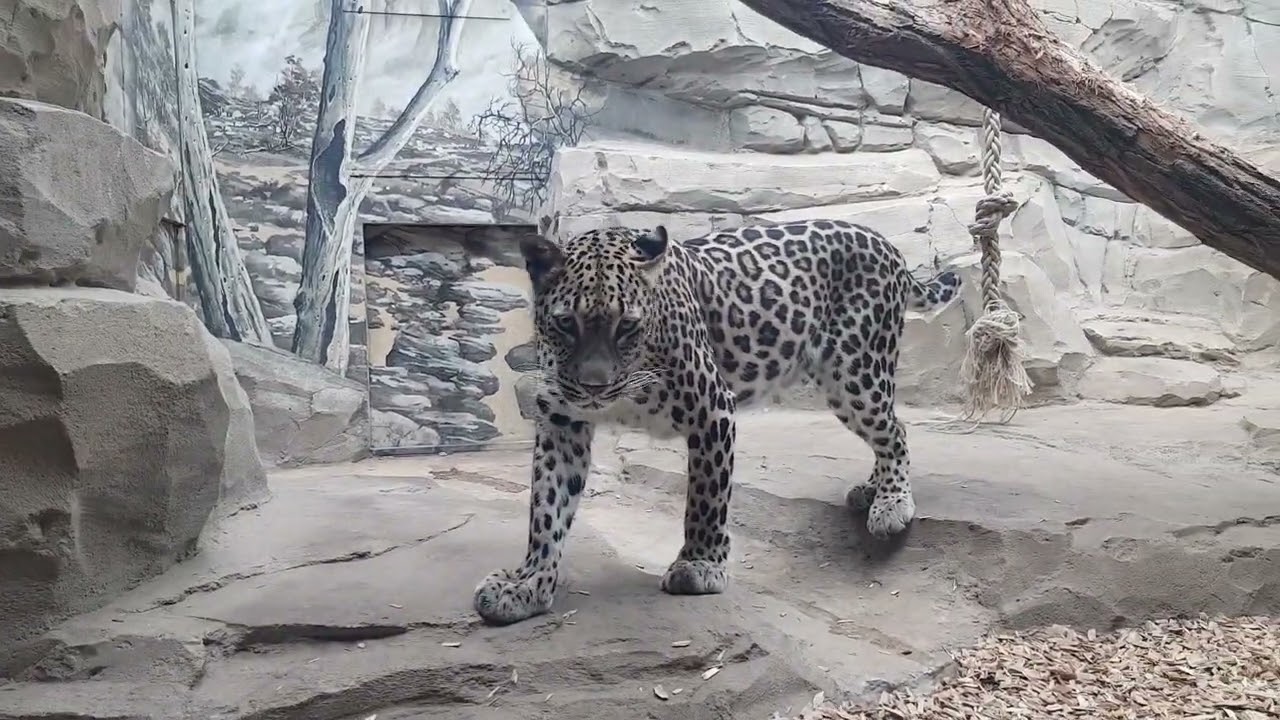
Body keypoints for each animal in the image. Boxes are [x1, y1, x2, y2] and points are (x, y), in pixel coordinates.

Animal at [472, 218, 962, 626]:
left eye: (626, 325)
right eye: (565, 324)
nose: (595, 387)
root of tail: (887, 244)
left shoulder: (712, 408)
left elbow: (705, 498)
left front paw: (699, 565)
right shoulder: (562, 423)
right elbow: (547, 510)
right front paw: (527, 586)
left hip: (856, 372)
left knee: (895, 431)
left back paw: (891, 502)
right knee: (887, 431)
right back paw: (871, 490)